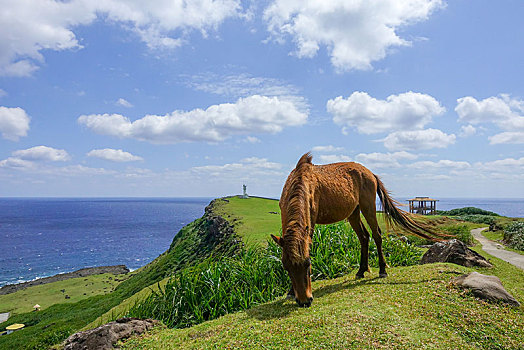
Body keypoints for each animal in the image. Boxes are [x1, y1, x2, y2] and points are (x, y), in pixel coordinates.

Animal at [272, 152, 448, 306]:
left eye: (308, 264)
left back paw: (382, 270)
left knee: (376, 235)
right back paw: (361, 270)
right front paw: (291, 292)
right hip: (354, 213)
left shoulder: (312, 221)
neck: (302, 182)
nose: (304, 301)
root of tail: (370, 173)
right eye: (286, 267)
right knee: (364, 237)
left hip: (367, 206)